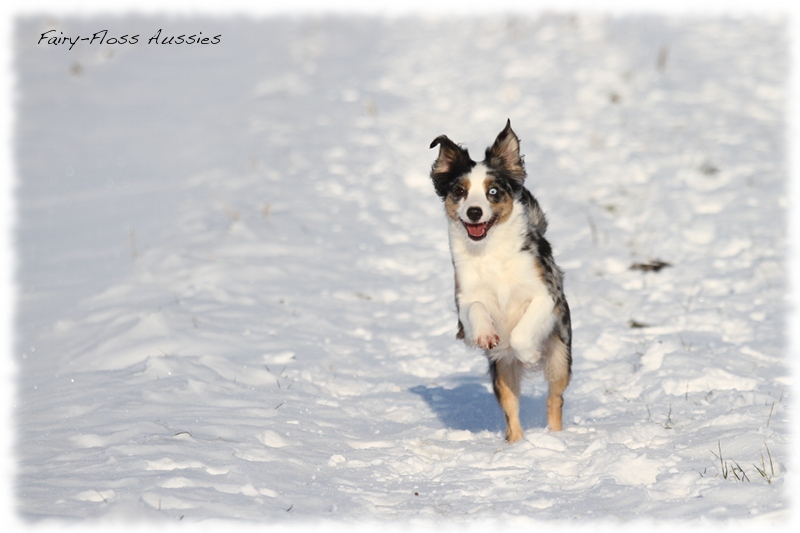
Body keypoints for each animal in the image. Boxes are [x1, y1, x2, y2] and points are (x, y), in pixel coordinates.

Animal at [428, 119, 572, 440]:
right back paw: (516, 444)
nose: (474, 212)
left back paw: (555, 436)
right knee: (511, 409)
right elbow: (476, 308)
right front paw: (485, 334)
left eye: (493, 191)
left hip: (560, 356)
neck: (490, 251)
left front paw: (528, 354)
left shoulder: (547, 294)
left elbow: (521, 332)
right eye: (460, 191)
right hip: (501, 370)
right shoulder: (464, 300)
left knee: (554, 397)